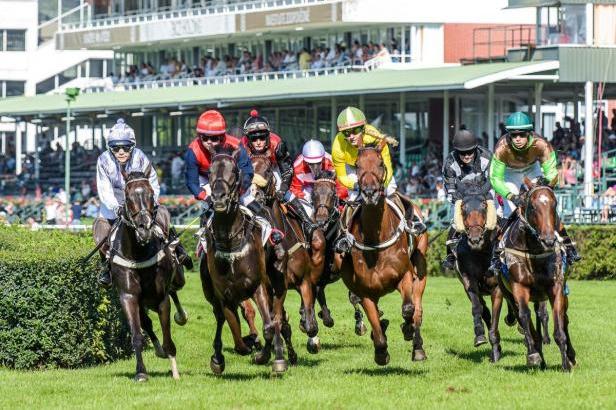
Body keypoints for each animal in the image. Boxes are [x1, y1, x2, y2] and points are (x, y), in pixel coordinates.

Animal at [201, 149, 290, 374]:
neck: (230, 241)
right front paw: (243, 347)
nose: (219, 198)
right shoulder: (224, 295)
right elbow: (235, 331)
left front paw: (265, 355)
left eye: (234, 171)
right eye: (210, 171)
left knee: (276, 315)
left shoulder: (257, 286)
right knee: (219, 318)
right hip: (210, 292)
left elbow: (269, 326)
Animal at [251, 154, 328, 356]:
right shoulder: (271, 287)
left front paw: (310, 333)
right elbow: (276, 319)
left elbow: (311, 326)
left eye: (268, 170)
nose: (254, 193)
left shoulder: (304, 281)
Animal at [332, 139, 428, 364]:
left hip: (420, 266)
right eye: (357, 166)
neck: (375, 239)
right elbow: (374, 322)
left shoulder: (404, 275)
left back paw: (418, 346)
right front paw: (381, 351)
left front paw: (407, 329)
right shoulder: (365, 290)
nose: (369, 193)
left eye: (381, 164)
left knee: (417, 307)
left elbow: (408, 309)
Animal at [498, 177, 576, 372]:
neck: (534, 250)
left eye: (555, 204)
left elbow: (559, 328)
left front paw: (566, 365)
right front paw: (534, 354)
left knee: (564, 319)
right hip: (509, 294)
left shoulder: (556, 287)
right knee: (525, 318)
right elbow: (525, 317)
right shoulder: (519, 287)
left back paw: (571, 356)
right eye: (533, 207)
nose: (548, 240)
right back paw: (538, 355)